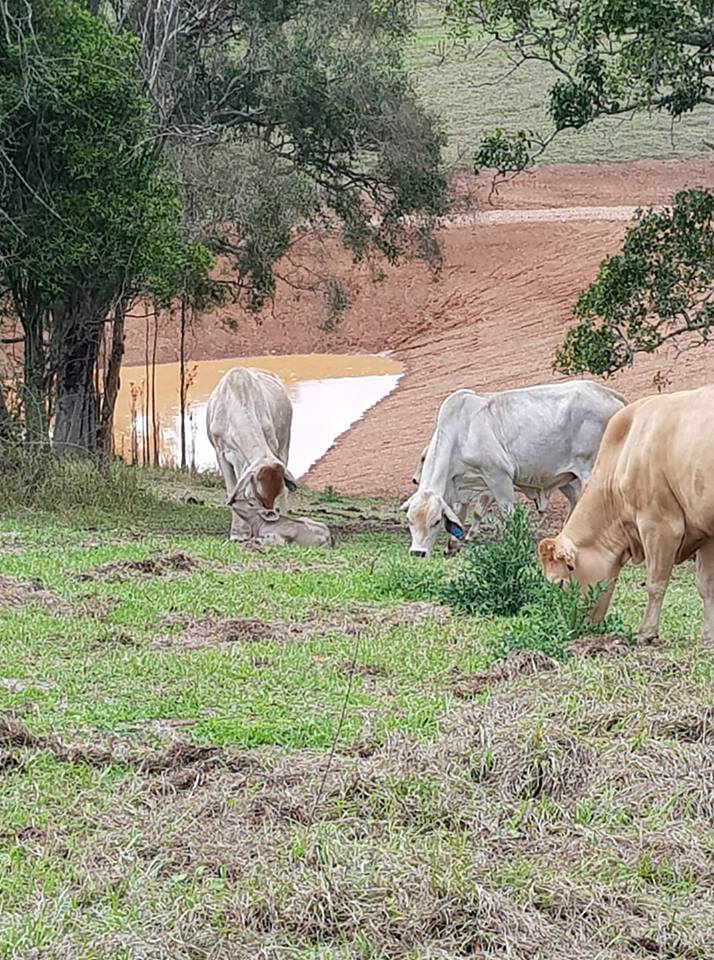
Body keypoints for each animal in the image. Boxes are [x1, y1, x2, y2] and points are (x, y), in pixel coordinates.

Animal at [206, 368, 297, 540]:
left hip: (285, 444)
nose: (270, 518)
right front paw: (238, 533)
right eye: (256, 497)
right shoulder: (221, 454)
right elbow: (234, 492)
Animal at [403, 380, 627, 558]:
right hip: (569, 478)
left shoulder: (497, 476)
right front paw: (452, 546)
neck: (461, 432)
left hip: (591, 471)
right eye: (410, 521)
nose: (417, 553)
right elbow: (460, 513)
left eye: (435, 521)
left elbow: (507, 515)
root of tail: (609, 394)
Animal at [539, 385, 714, 644]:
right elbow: (706, 585)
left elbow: (655, 583)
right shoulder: (706, 531)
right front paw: (708, 636)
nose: (570, 629)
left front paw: (647, 632)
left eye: (559, 583)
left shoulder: (659, 526)